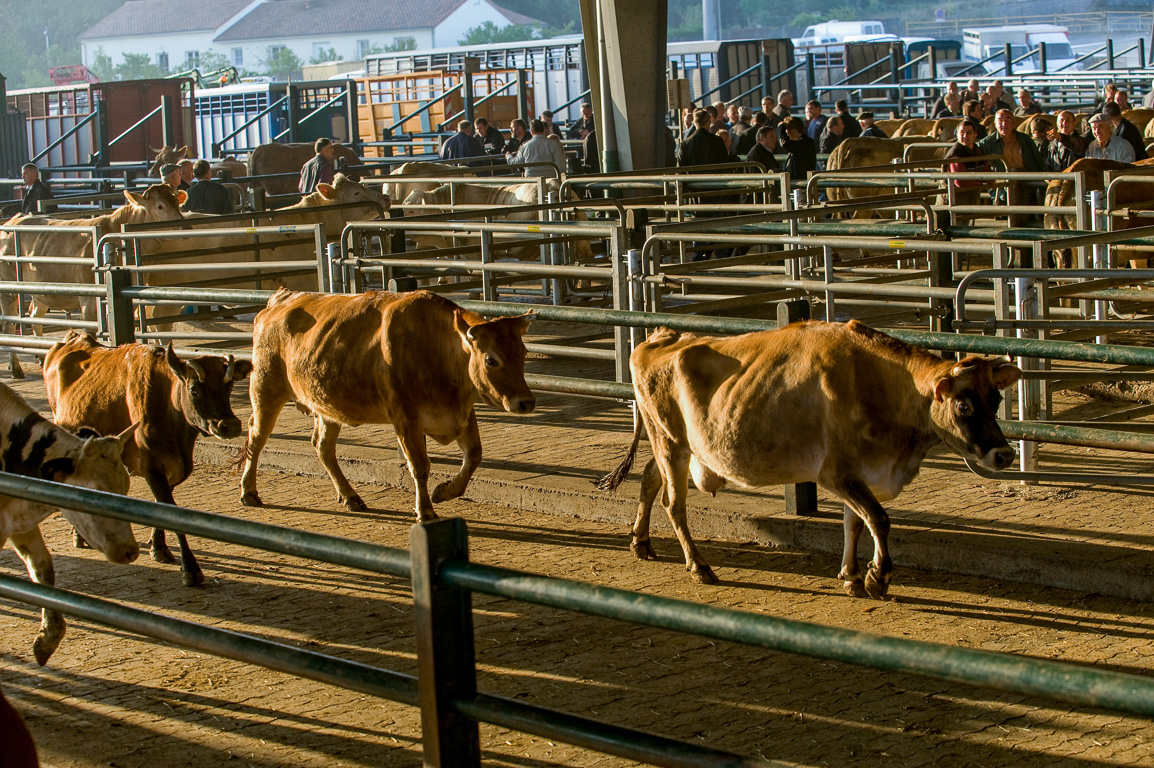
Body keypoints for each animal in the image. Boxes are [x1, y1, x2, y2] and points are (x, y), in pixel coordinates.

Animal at [0, 185, 184, 375]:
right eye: (160, 206)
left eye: (177, 202)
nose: (182, 226)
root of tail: (14, 219)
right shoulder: (88, 302)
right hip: (9, 291)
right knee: (9, 324)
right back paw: (14, 367)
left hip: (41, 292)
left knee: (35, 316)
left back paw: (43, 359)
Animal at [46, 329, 252, 585]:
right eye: (194, 389)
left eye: (229, 386)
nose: (230, 425)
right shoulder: (152, 466)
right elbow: (170, 511)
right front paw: (190, 568)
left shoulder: (173, 469)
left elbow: (159, 505)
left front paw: (158, 546)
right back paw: (78, 535)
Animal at [238, 288, 535, 521]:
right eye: (491, 360)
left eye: (523, 352)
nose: (526, 402)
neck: (434, 347)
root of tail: (281, 299)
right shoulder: (405, 418)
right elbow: (420, 465)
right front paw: (425, 510)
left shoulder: (461, 413)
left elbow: (474, 456)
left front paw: (445, 491)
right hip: (265, 390)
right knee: (256, 437)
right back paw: (248, 491)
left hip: (327, 406)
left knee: (323, 447)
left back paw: (350, 496)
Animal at [595, 320, 1020, 595]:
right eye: (964, 405)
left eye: (996, 399)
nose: (1004, 454)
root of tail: (662, 335)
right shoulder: (837, 472)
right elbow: (879, 520)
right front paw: (877, 577)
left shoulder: (859, 472)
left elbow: (855, 523)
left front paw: (851, 575)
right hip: (670, 441)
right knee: (674, 503)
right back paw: (699, 566)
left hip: (674, 444)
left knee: (650, 480)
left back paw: (641, 542)